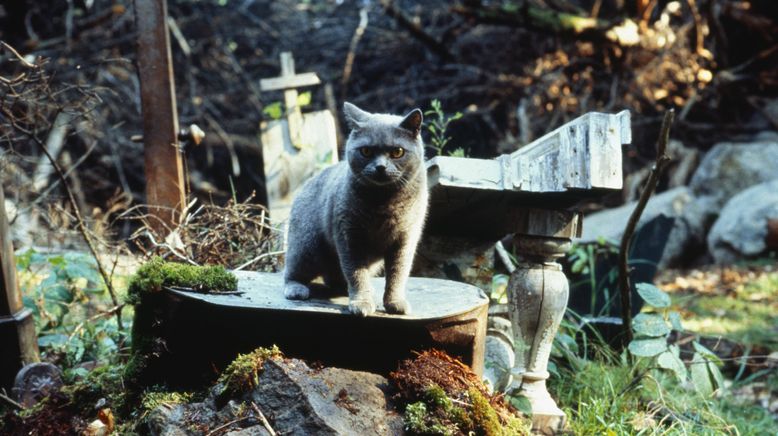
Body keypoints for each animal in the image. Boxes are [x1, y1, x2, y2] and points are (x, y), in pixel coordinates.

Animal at [280, 101, 428, 316]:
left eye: (397, 152)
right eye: (365, 151)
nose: (381, 167)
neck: (384, 203)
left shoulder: (405, 239)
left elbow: (397, 274)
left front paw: (395, 302)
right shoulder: (349, 236)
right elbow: (356, 273)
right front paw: (362, 303)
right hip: (306, 246)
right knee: (291, 271)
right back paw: (296, 289)